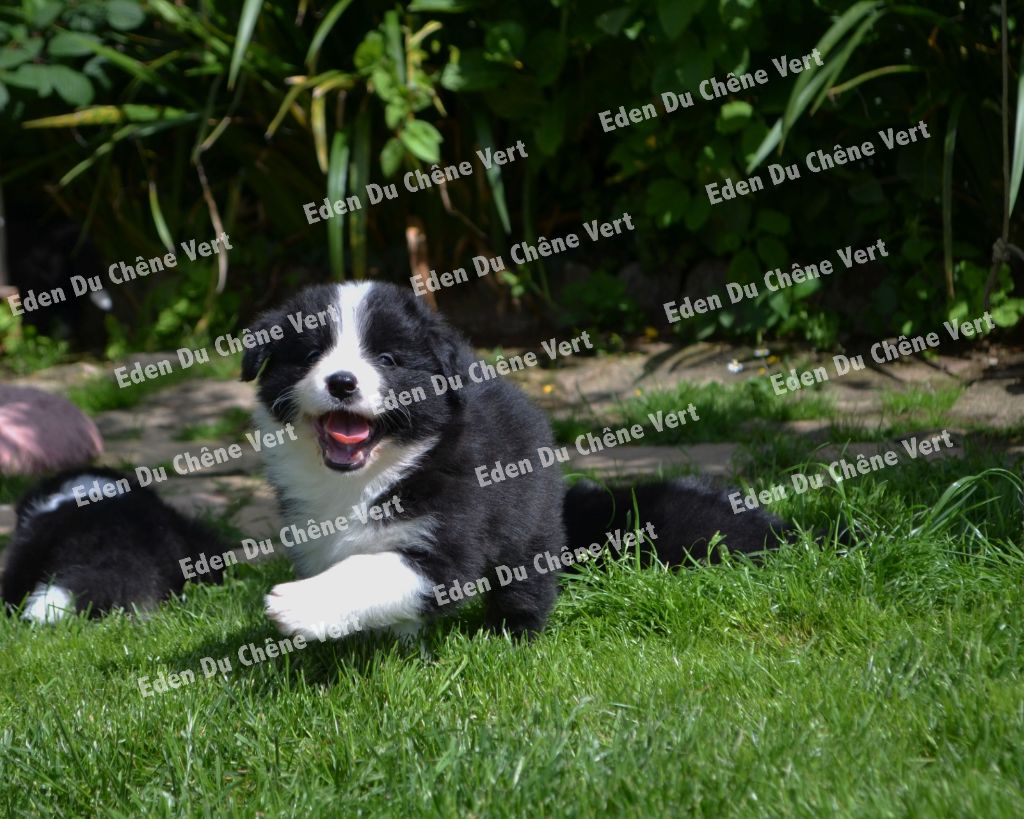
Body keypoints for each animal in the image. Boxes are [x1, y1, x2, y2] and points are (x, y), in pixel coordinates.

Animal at [241, 282, 790, 638]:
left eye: (389, 360)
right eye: (310, 355)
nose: (342, 382)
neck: (367, 479)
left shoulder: (448, 538)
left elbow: (372, 571)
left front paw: (298, 605)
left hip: (528, 525)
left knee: (528, 579)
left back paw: (514, 633)